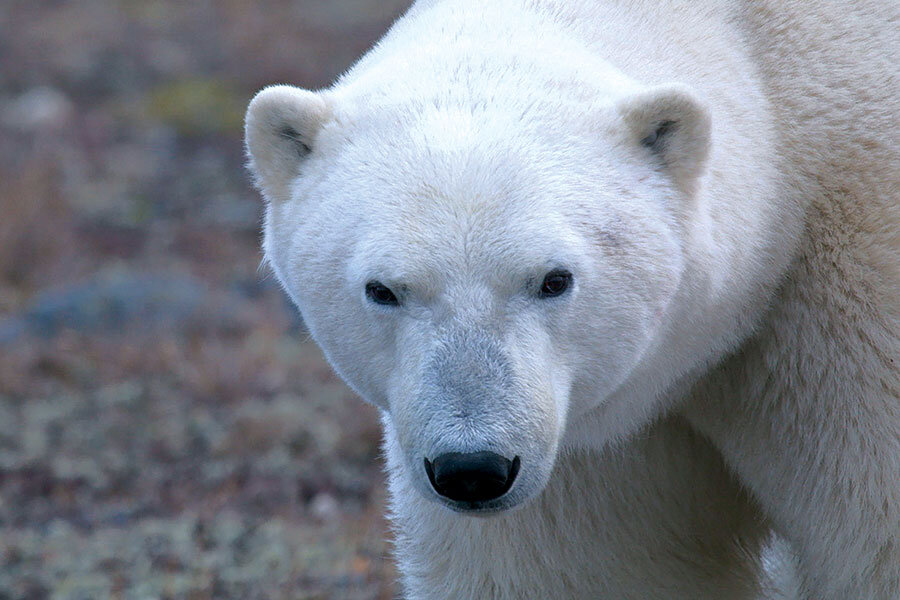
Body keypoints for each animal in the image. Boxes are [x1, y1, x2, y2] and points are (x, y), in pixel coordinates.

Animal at [243, 1, 896, 596]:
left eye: (554, 280)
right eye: (382, 290)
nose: (473, 470)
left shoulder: (851, 305)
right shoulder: (580, 441)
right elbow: (582, 569)